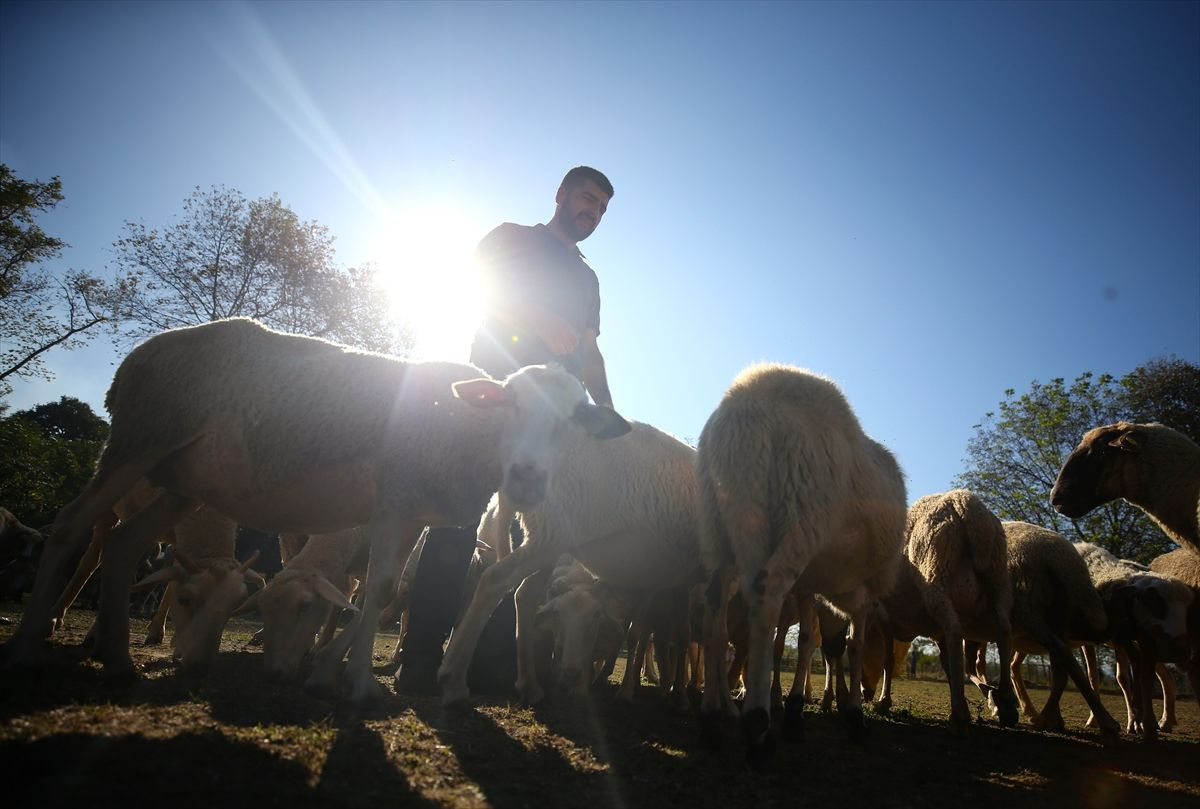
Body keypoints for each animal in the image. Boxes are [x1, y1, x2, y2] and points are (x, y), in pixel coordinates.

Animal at [4, 314, 628, 705]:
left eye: (577, 422)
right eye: (509, 403)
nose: (527, 478)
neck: (464, 429)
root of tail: (143, 353)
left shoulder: (411, 513)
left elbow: (377, 595)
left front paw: (328, 674)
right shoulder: (394, 498)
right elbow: (375, 592)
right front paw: (357, 686)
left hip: (181, 477)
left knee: (124, 543)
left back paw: (117, 661)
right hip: (141, 436)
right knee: (71, 528)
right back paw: (27, 647)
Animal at [439, 420, 700, 710]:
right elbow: (682, 635)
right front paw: (679, 694)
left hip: (551, 541)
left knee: (524, 594)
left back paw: (530, 685)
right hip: (552, 531)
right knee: (495, 580)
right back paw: (454, 681)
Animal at [691, 362, 902, 763]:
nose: (873, 698)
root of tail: (747, 403)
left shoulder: (808, 587)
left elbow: (806, 641)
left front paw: (795, 714)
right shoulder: (864, 594)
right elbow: (854, 646)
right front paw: (854, 717)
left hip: (719, 518)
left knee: (715, 609)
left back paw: (711, 719)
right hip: (800, 513)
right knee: (764, 597)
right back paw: (757, 729)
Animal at [868, 487, 1017, 734]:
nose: (865, 694)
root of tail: (966, 505)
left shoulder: (884, 618)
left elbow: (888, 662)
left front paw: (883, 703)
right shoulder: (937, 633)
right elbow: (947, 663)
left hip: (935, 573)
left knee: (956, 630)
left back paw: (959, 716)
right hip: (999, 578)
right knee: (1003, 629)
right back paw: (1006, 702)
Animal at [998, 520, 1118, 739]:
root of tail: (1064, 561)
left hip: (1029, 611)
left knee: (1064, 661)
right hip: (1058, 618)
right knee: (1062, 669)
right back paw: (1053, 720)